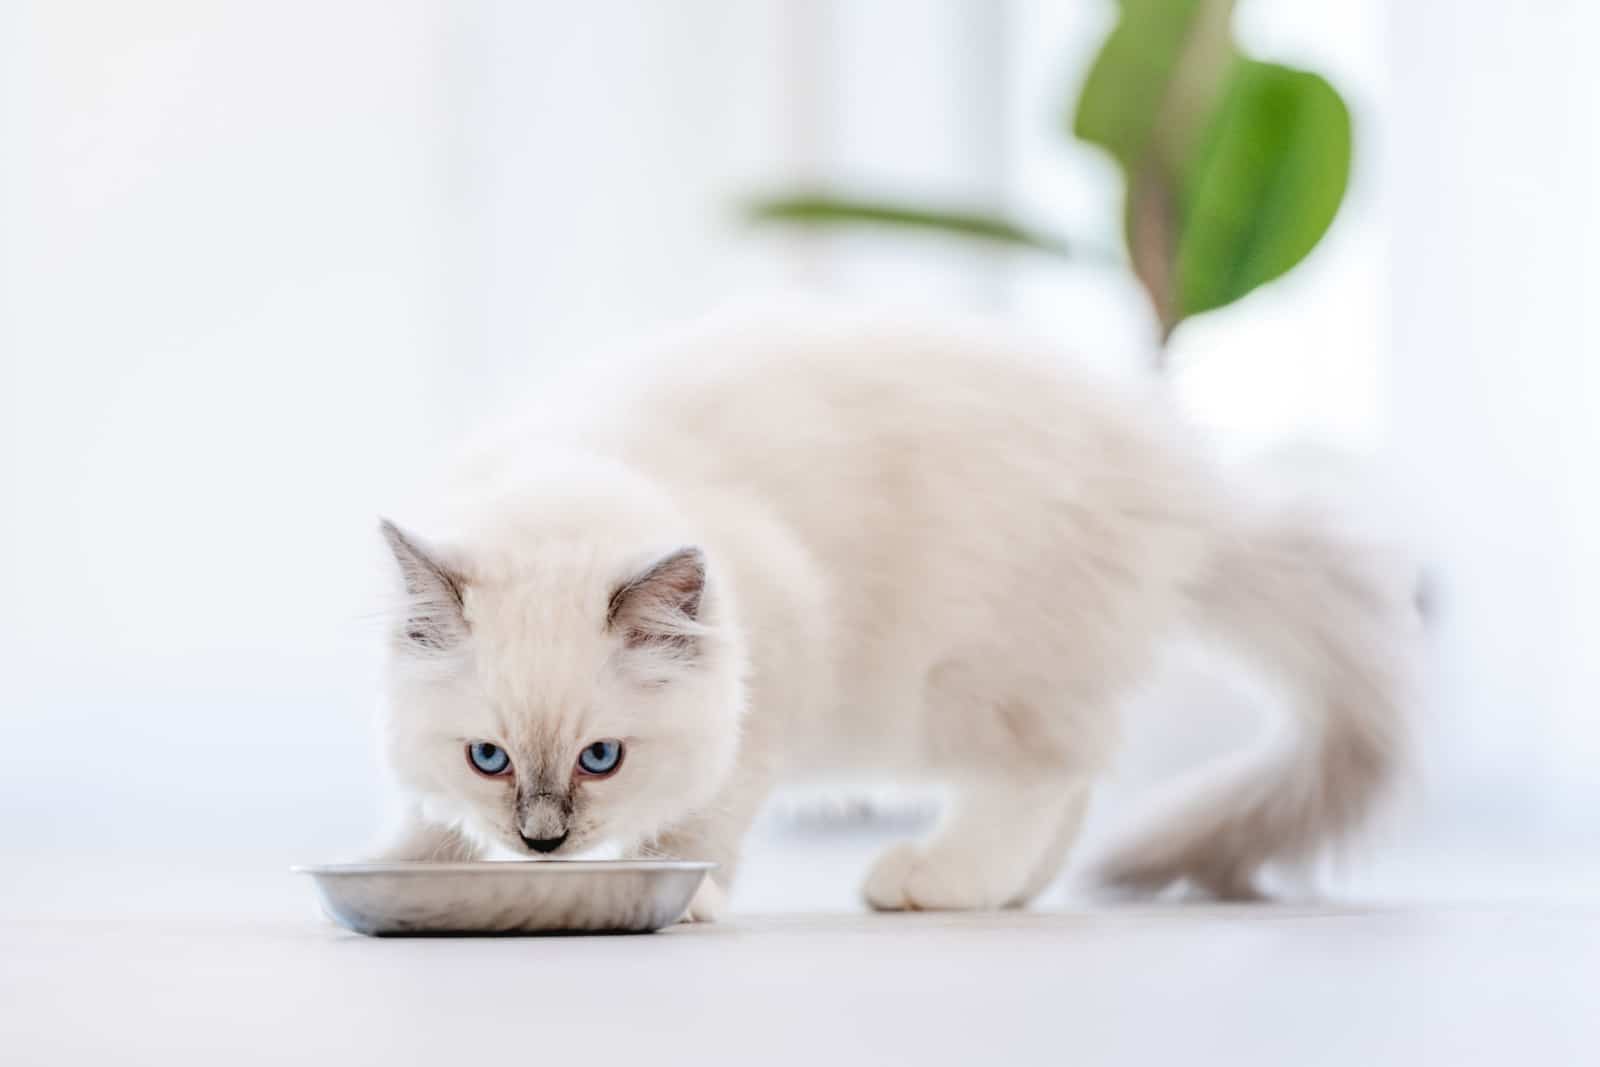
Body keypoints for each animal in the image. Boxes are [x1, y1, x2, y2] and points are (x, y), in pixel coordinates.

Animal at [371, 308, 1414, 921]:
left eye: (601, 759)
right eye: (489, 758)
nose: (541, 844)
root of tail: (1186, 484)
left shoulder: (777, 673)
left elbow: (703, 823)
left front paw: (690, 893)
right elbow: (427, 821)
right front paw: (410, 861)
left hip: (964, 686)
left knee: (1044, 775)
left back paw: (938, 881)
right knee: (1074, 786)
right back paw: (1010, 891)